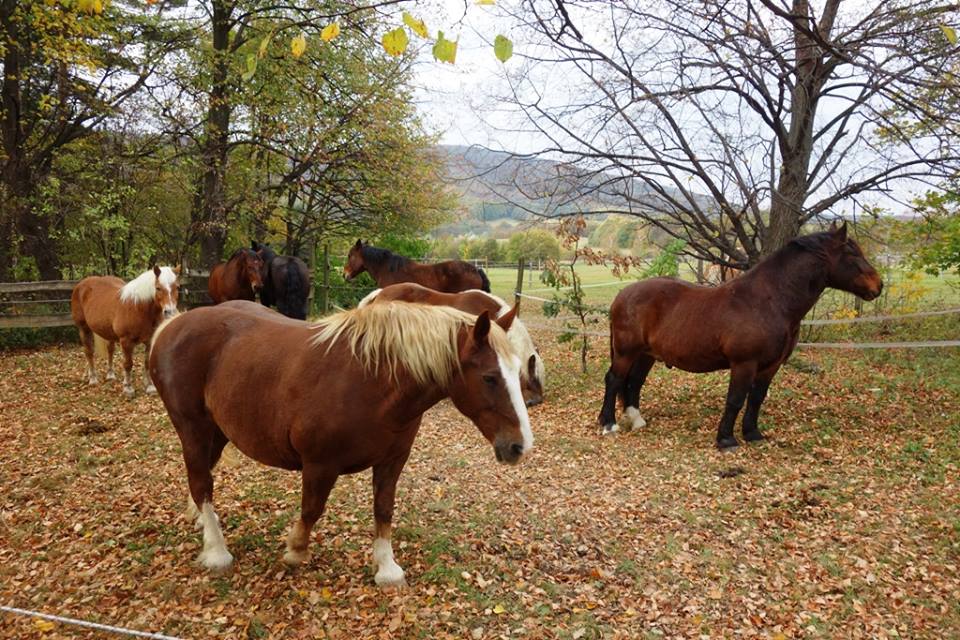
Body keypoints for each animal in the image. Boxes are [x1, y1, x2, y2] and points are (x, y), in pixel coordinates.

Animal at [71, 264, 180, 396]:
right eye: (158, 288)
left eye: (177, 287)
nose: (170, 312)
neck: (138, 307)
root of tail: (81, 284)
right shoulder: (126, 341)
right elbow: (128, 364)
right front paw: (128, 388)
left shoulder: (149, 341)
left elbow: (147, 363)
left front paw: (150, 387)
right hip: (84, 329)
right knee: (89, 352)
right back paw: (93, 378)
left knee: (110, 350)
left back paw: (110, 374)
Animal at [148, 300, 532, 584]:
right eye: (489, 377)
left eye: (518, 371)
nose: (519, 447)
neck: (371, 381)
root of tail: (172, 327)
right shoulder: (320, 465)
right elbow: (312, 509)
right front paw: (296, 549)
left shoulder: (392, 461)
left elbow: (383, 509)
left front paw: (387, 568)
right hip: (193, 428)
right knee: (202, 482)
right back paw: (216, 551)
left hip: (217, 431)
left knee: (202, 478)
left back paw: (201, 521)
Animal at [600, 225, 884, 450]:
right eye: (852, 253)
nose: (878, 286)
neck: (768, 301)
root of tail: (622, 295)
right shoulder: (744, 363)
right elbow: (736, 399)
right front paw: (726, 440)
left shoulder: (770, 366)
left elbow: (756, 398)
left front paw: (753, 434)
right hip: (626, 351)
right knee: (615, 380)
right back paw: (608, 424)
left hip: (646, 354)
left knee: (634, 382)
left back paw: (636, 420)